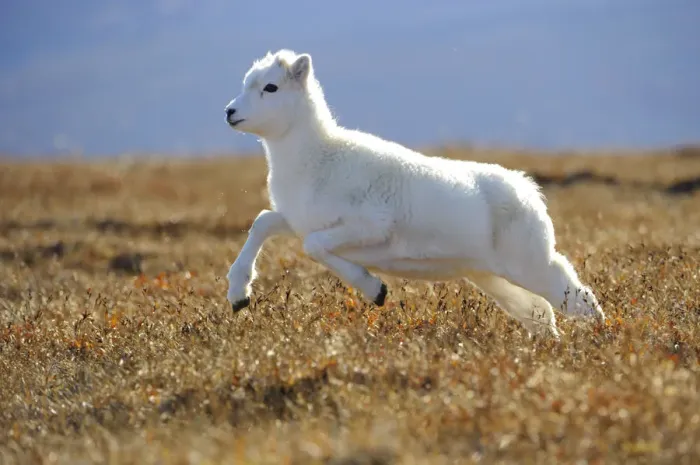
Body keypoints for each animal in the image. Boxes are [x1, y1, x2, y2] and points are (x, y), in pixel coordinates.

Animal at [222, 49, 606, 338]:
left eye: (270, 88)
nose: (230, 112)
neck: (315, 156)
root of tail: (527, 191)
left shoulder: (367, 226)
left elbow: (313, 247)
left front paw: (376, 291)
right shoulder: (295, 220)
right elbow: (263, 223)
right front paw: (238, 296)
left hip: (530, 265)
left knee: (576, 296)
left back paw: (600, 339)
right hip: (492, 276)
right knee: (539, 312)